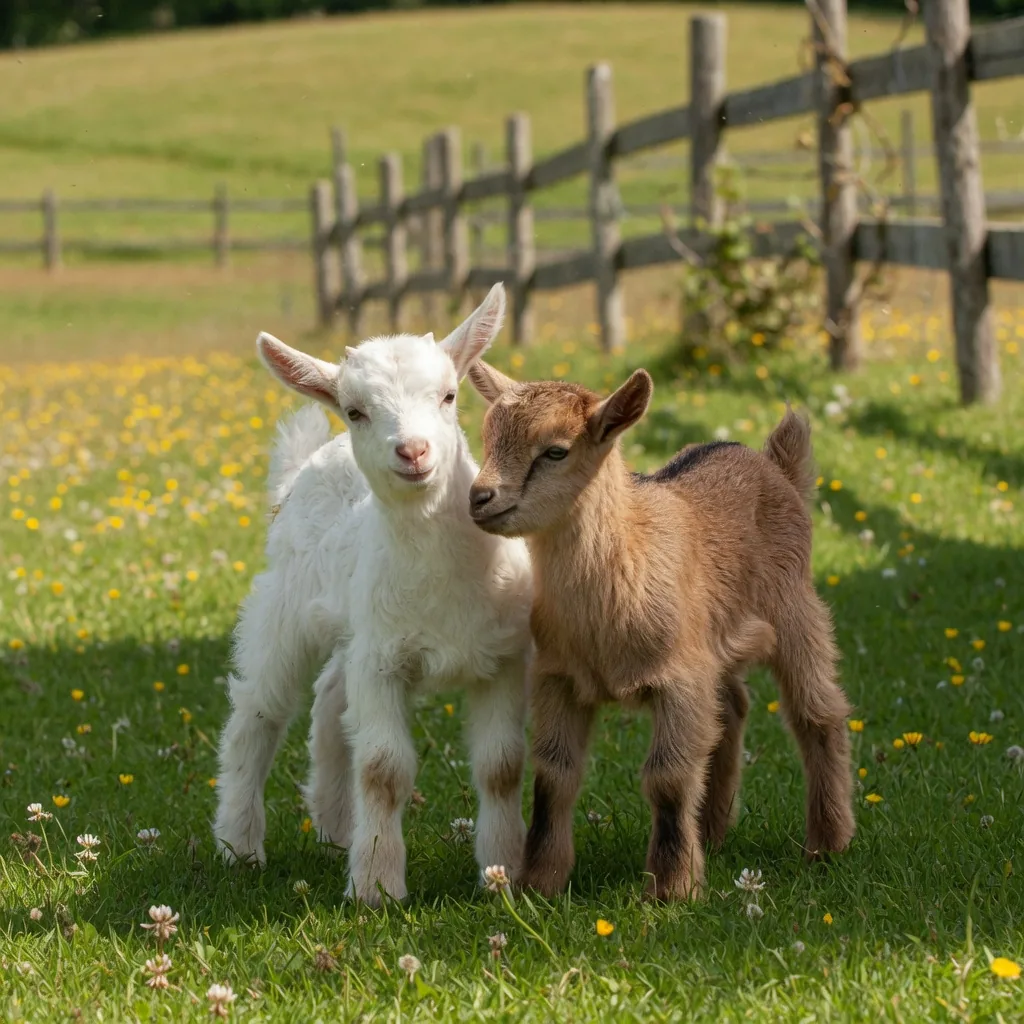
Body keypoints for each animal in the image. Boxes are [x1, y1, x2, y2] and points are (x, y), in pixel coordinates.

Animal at [213, 284, 533, 906]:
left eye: (449, 395)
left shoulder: (504, 658)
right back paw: (239, 846)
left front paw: (501, 876)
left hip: (355, 629)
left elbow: (502, 765)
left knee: (329, 702)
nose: (413, 452)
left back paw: (335, 829)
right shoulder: (383, 662)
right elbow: (384, 769)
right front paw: (377, 887)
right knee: (257, 713)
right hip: (285, 606)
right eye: (356, 410)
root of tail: (306, 464)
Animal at [465, 361, 854, 900]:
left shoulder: (678, 679)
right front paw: (539, 881)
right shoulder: (558, 677)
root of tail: (774, 465)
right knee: (730, 710)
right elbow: (553, 774)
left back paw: (828, 843)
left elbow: (666, 777)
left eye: (556, 450)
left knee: (817, 712)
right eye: (487, 437)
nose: (480, 498)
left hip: (796, 608)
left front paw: (672, 888)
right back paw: (711, 831)